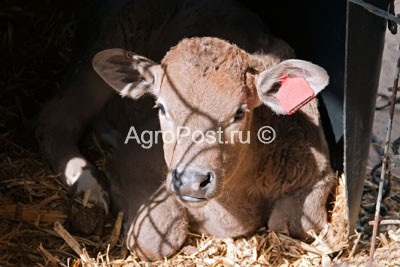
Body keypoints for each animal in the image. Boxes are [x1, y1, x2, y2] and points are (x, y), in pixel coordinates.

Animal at [36, 0, 334, 262]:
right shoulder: (133, 160)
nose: (192, 180)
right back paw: (89, 190)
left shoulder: (318, 173)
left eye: (239, 112)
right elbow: (154, 239)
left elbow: (298, 225)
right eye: (162, 107)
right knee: (54, 118)